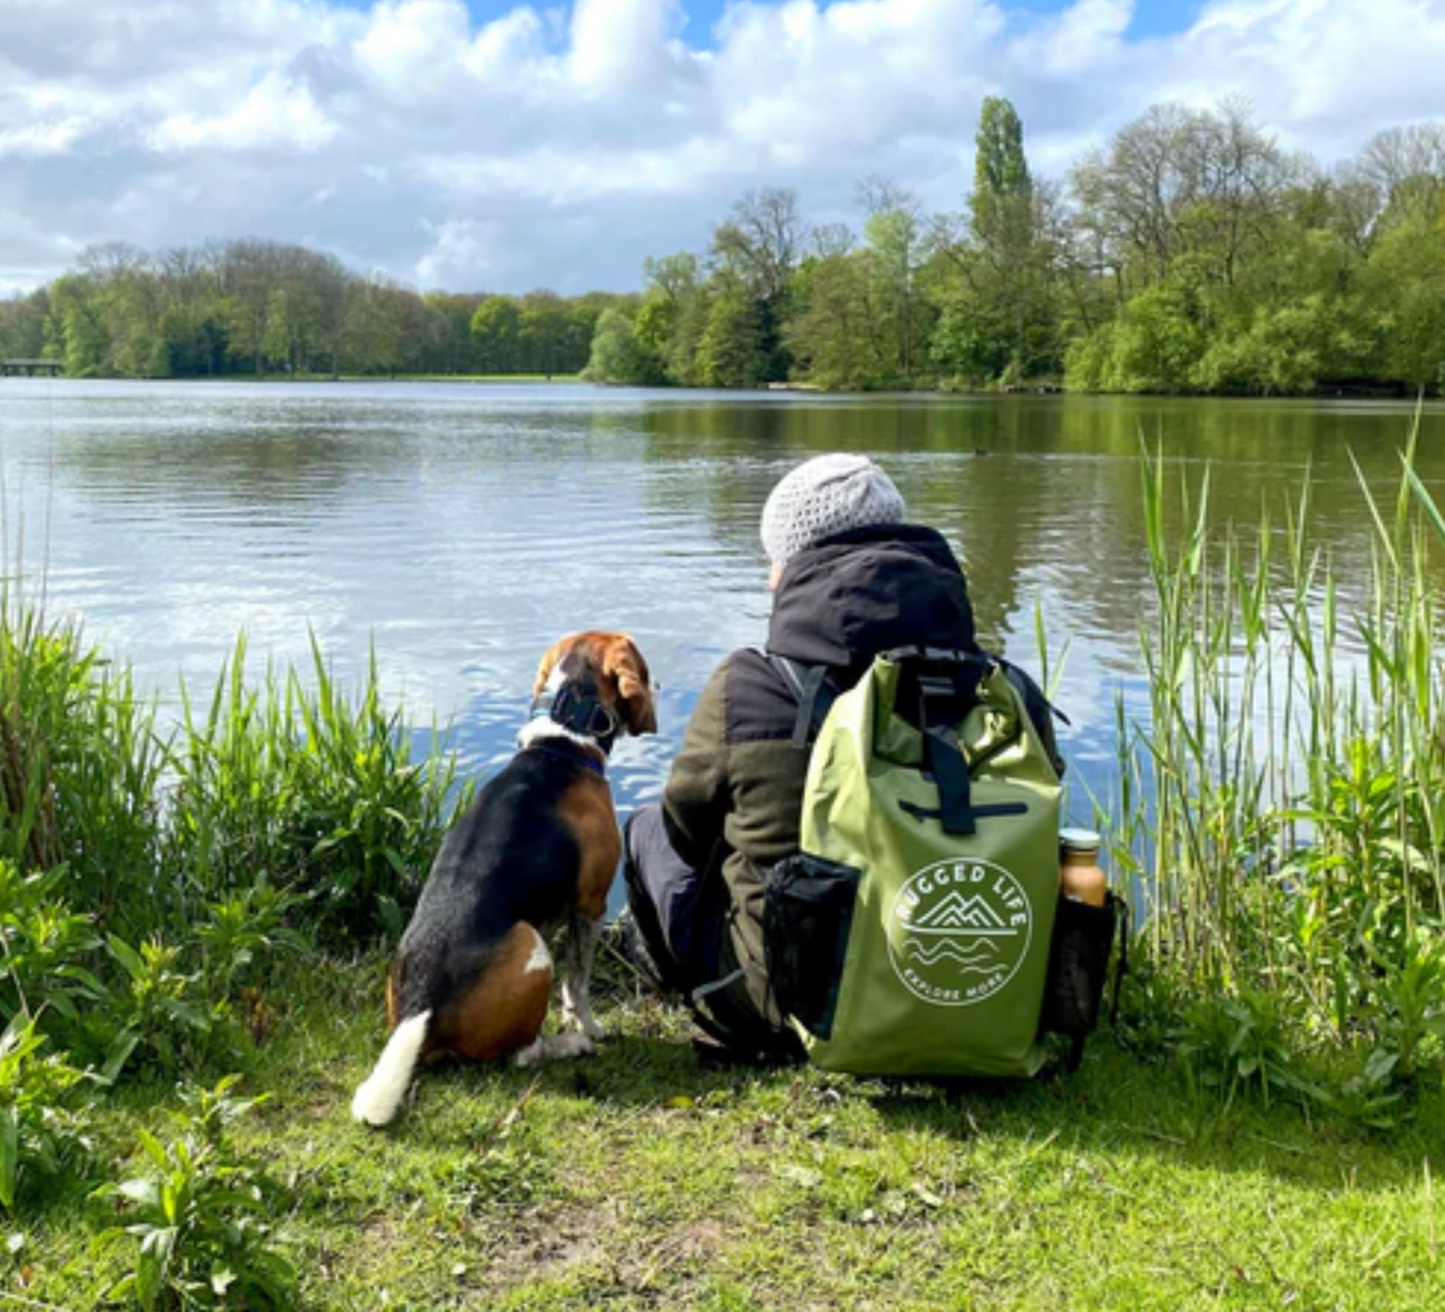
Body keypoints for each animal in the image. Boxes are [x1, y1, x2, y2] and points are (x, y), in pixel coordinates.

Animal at [352, 629, 658, 1121]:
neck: (562, 741)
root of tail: (420, 1010)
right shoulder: (590, 905)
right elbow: (578, 983)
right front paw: (588, 1026)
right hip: (532, 948)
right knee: (523, 1054)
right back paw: (570, 1044)